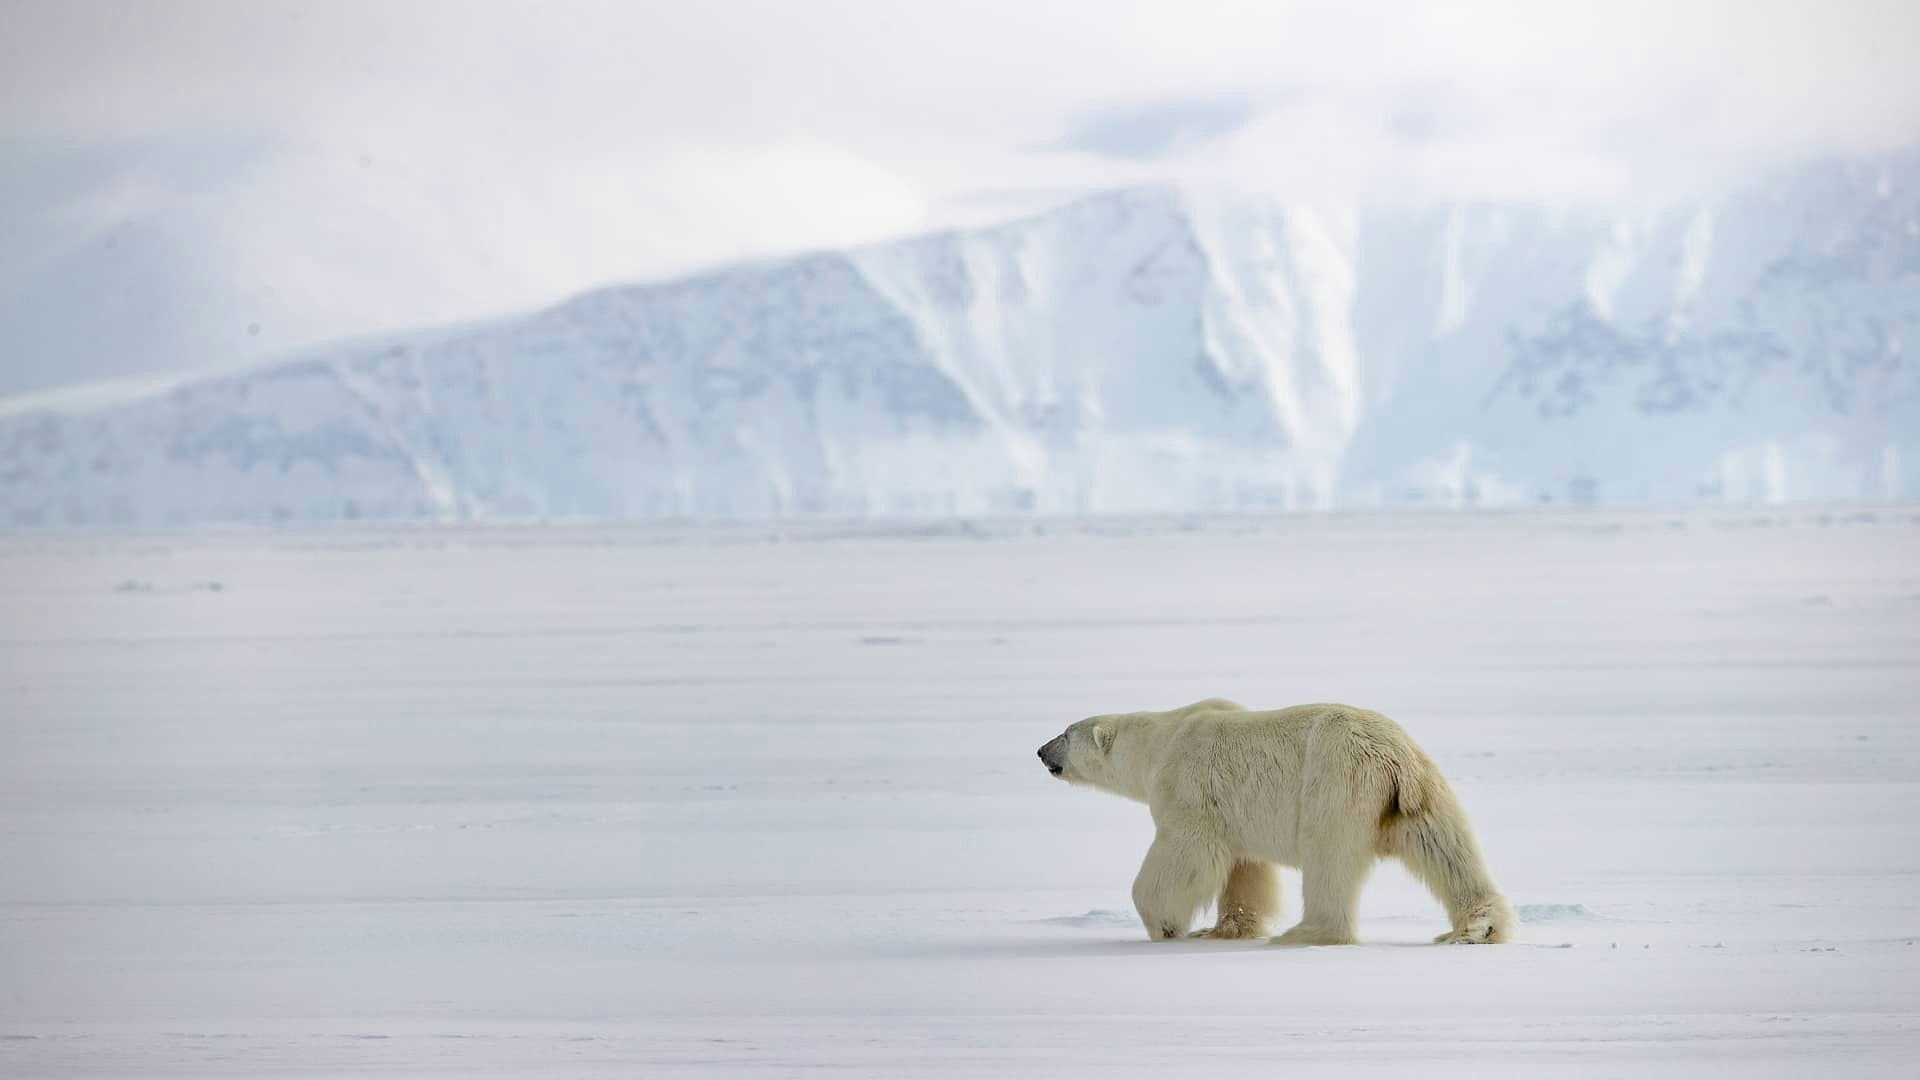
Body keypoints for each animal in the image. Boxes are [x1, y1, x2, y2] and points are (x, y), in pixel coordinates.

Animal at [1036, 698, 1513, 946]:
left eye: (1066, 732)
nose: (1040, 750)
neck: (1162, 740)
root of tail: (1394, 757)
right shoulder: (1235, 811)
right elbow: (1245, 869)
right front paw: (1224, 929)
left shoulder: (1189, 790)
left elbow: (1183, 855)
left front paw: (1166, 926)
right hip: (1416, 794)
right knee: (1445, 847)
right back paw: (1478, 927)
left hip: (1336, 779)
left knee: (1328, 857)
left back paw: (1307, 932)